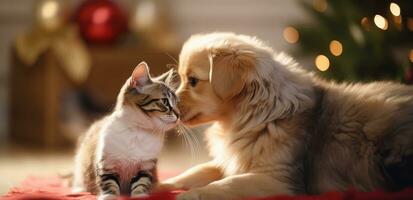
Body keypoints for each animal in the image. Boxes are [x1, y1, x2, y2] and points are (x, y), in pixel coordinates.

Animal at [71, 61, 178, 199]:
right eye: (165, 102)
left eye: (176, 103)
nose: (179, 115)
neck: (138, 131)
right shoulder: (107, 165)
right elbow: (109, 185)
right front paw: (109, 196)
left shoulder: (146, 166)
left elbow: (141, 184)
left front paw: (140, 196)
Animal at [160, 32, 412, 200]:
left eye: (193, 81)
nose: (170, 106)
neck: (253, 113)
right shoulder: (230, 161)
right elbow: (194, 171)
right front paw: (162, 184)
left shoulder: (278, 179)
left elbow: (225, 184)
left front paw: (189, 195)